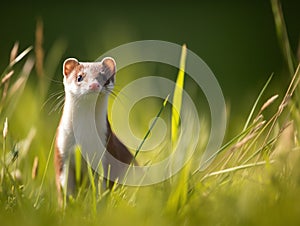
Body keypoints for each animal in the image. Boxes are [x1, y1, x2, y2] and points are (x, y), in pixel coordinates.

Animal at [55, 57, 136, 206]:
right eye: (79, 77)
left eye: (105, 78)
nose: (94, 85)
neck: (85, 135)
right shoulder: (61, 149)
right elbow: (64, 187)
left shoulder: (107, 150)